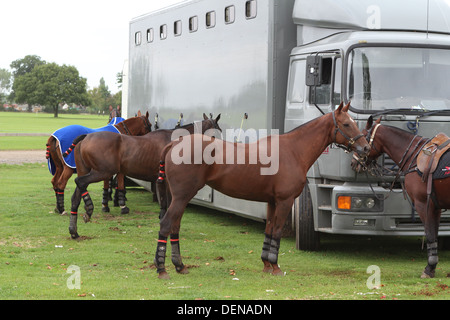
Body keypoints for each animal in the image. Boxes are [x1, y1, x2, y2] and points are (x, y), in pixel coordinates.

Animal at [68, 114, 221, 239]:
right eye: (217, 133)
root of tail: (86, 137)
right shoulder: (166, 181)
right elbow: (166, 202)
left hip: (88, 171)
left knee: (75, 197)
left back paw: (74, 231)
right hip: (102, 172)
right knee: (80, 182)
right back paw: (89, 209)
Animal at [152, 101, 370, 278]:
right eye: (347, 124)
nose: (366, 148)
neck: (293, 150)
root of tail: (174, 143)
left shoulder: (272, 202)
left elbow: (269, 230)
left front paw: (267, 264)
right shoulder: (285, 201)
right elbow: (277, 231)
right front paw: (276, 266)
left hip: (178, 198)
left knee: (175, 227)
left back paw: (179, 266)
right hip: (182, 197)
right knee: (166, 224)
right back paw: (162, 269)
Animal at [354, 117, 450, 278]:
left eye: (363, 139)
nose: (353, 163)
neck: (415, 156)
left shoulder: (423, 204)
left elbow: (430, 234)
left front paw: (429, 268)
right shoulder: (436, 207)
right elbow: (434, 234)